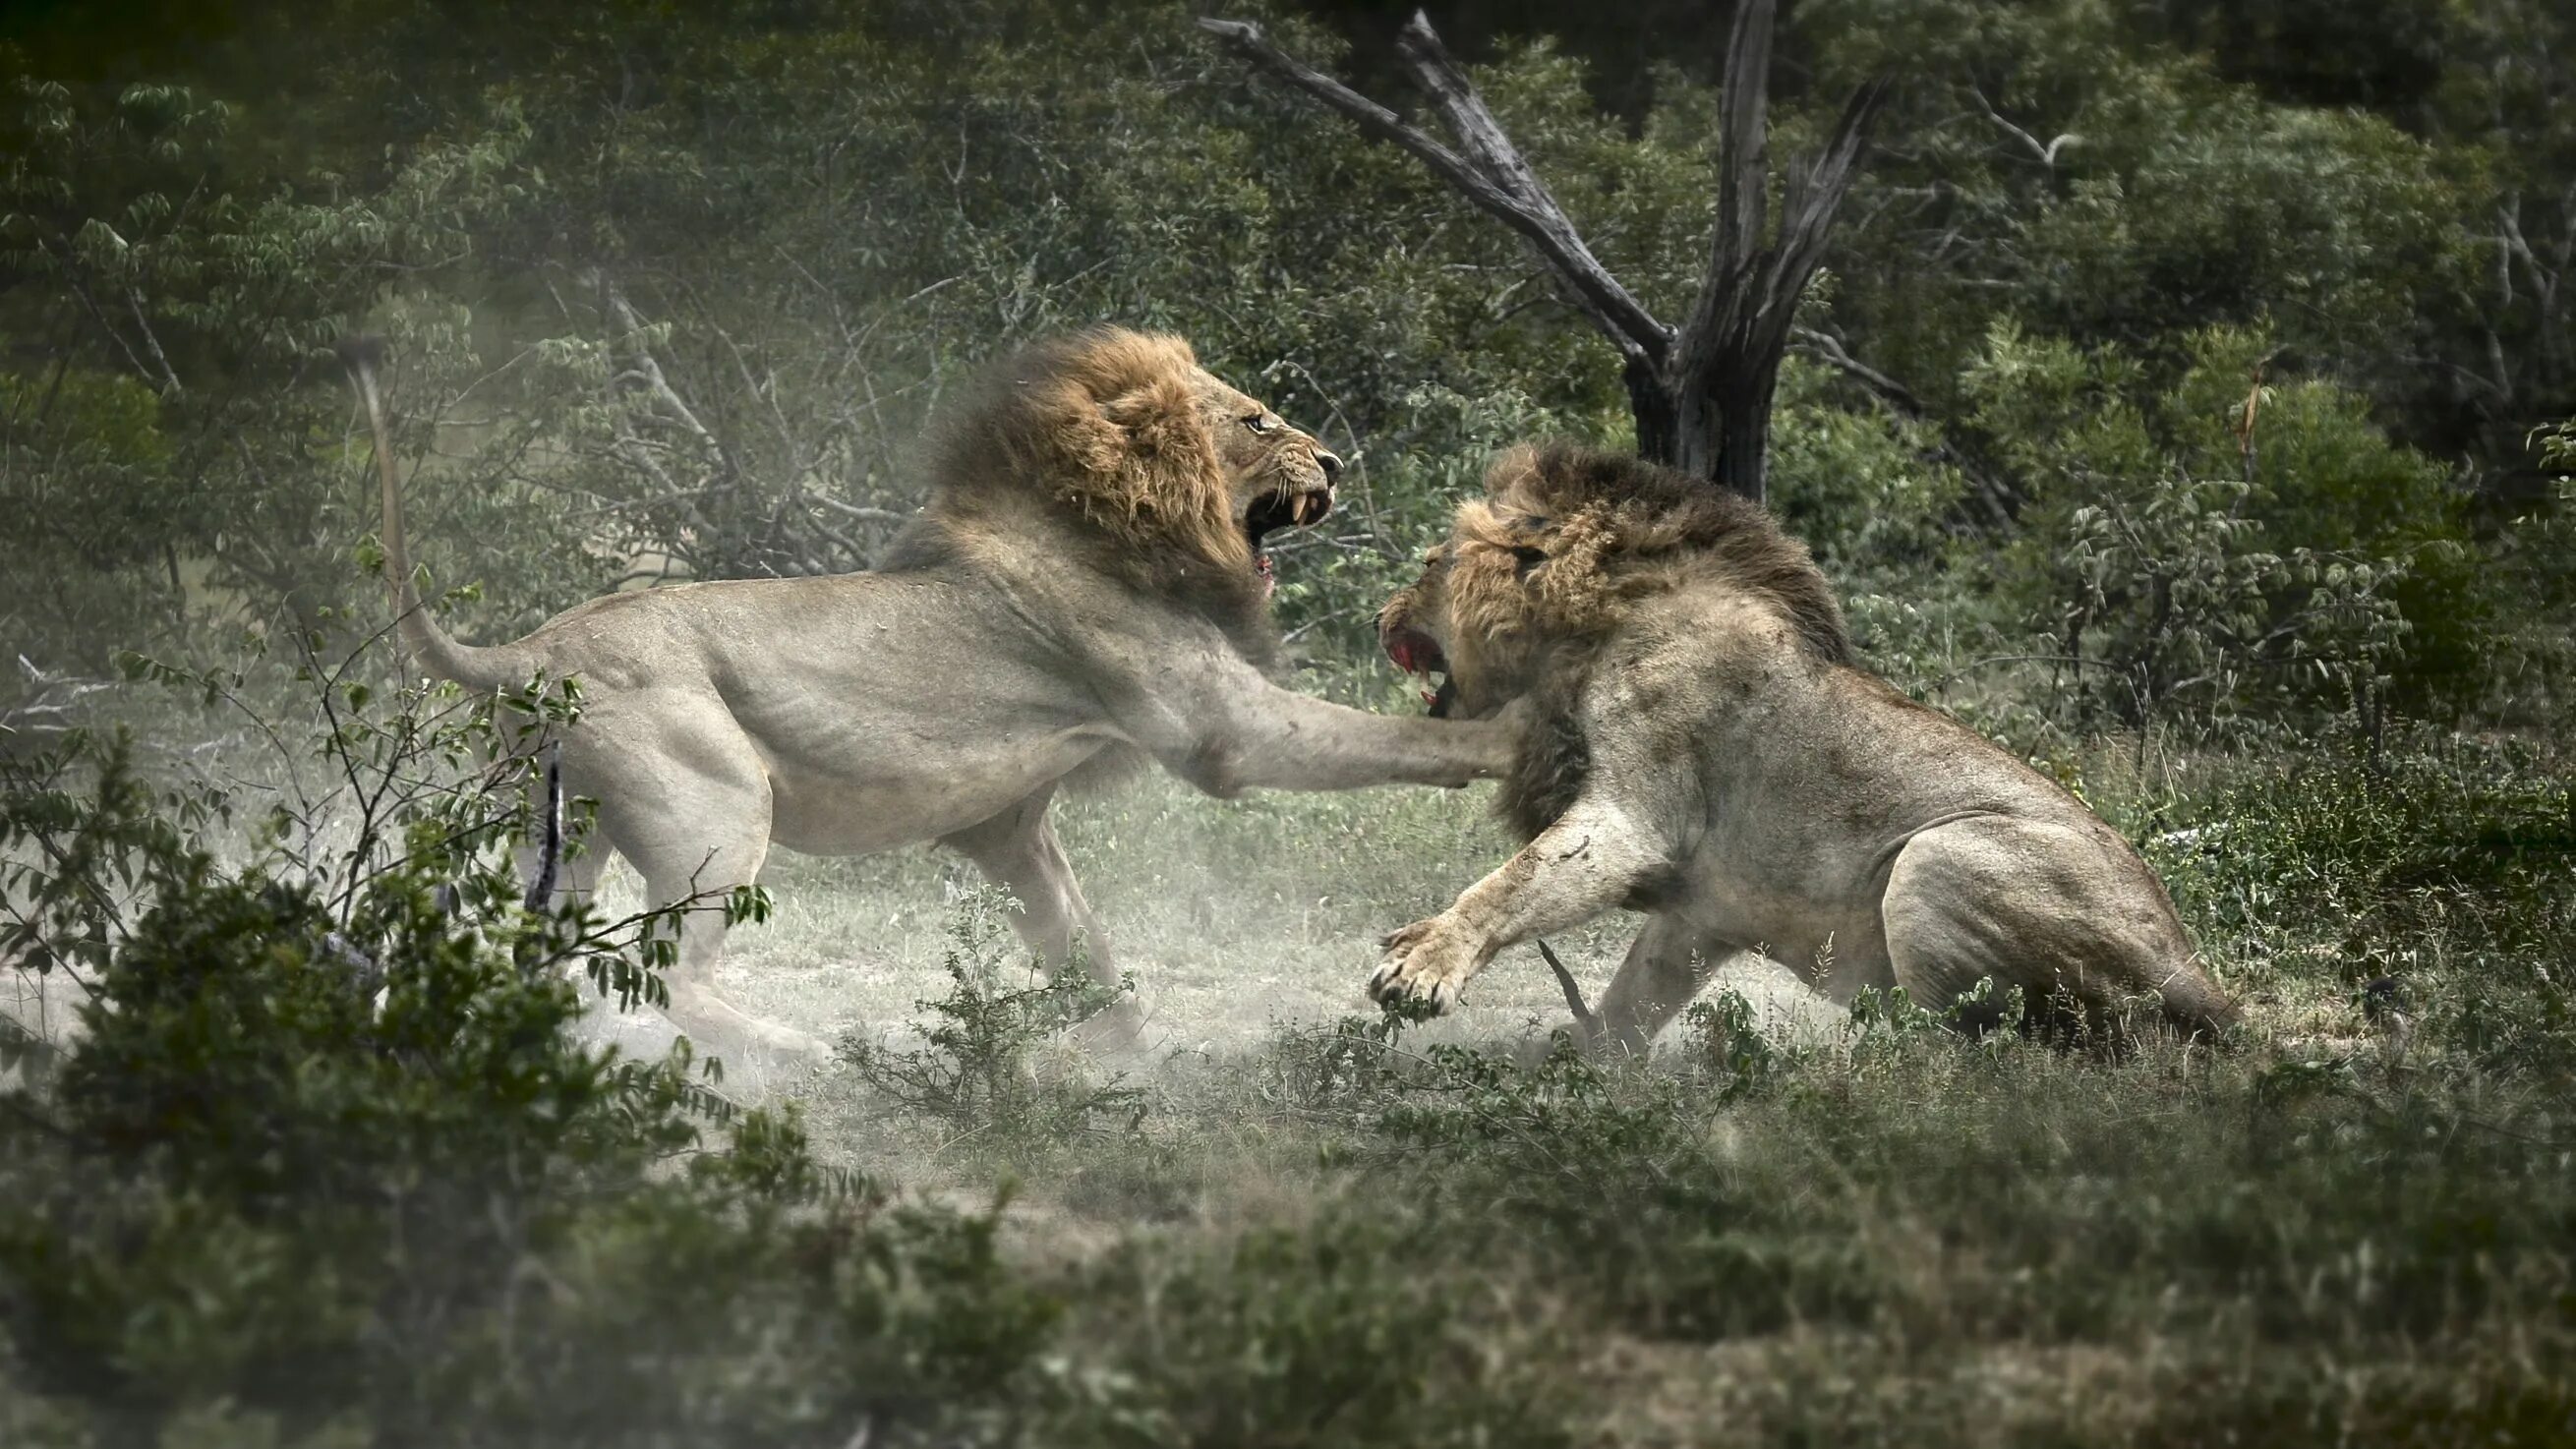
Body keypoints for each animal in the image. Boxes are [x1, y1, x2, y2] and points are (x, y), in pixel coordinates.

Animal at [337, 331, 1504, 1075]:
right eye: (1258, 420)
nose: (1335, 460)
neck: (1117, 527)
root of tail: (527, 650)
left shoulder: (1008, 826)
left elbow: (1084, 946)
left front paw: (1111, 1050)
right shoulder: (1223, 726)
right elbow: (1388, 736)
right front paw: (1516, 733)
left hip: (548, 835)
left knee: (534, 952)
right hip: (717, 809)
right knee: (663, 975)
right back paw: (810, 1051)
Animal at [1370, 444, 2236, 1055]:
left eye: (1430, 564)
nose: (1379, 616)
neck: (1588, 628)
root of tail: (2206, 984)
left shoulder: (1635, 812)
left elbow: (1514, 883)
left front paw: (1421, 965)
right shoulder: (1704, 907)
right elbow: (1637, 987)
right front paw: (1579, 1057)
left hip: (1937, 858)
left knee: (1987, 1053)